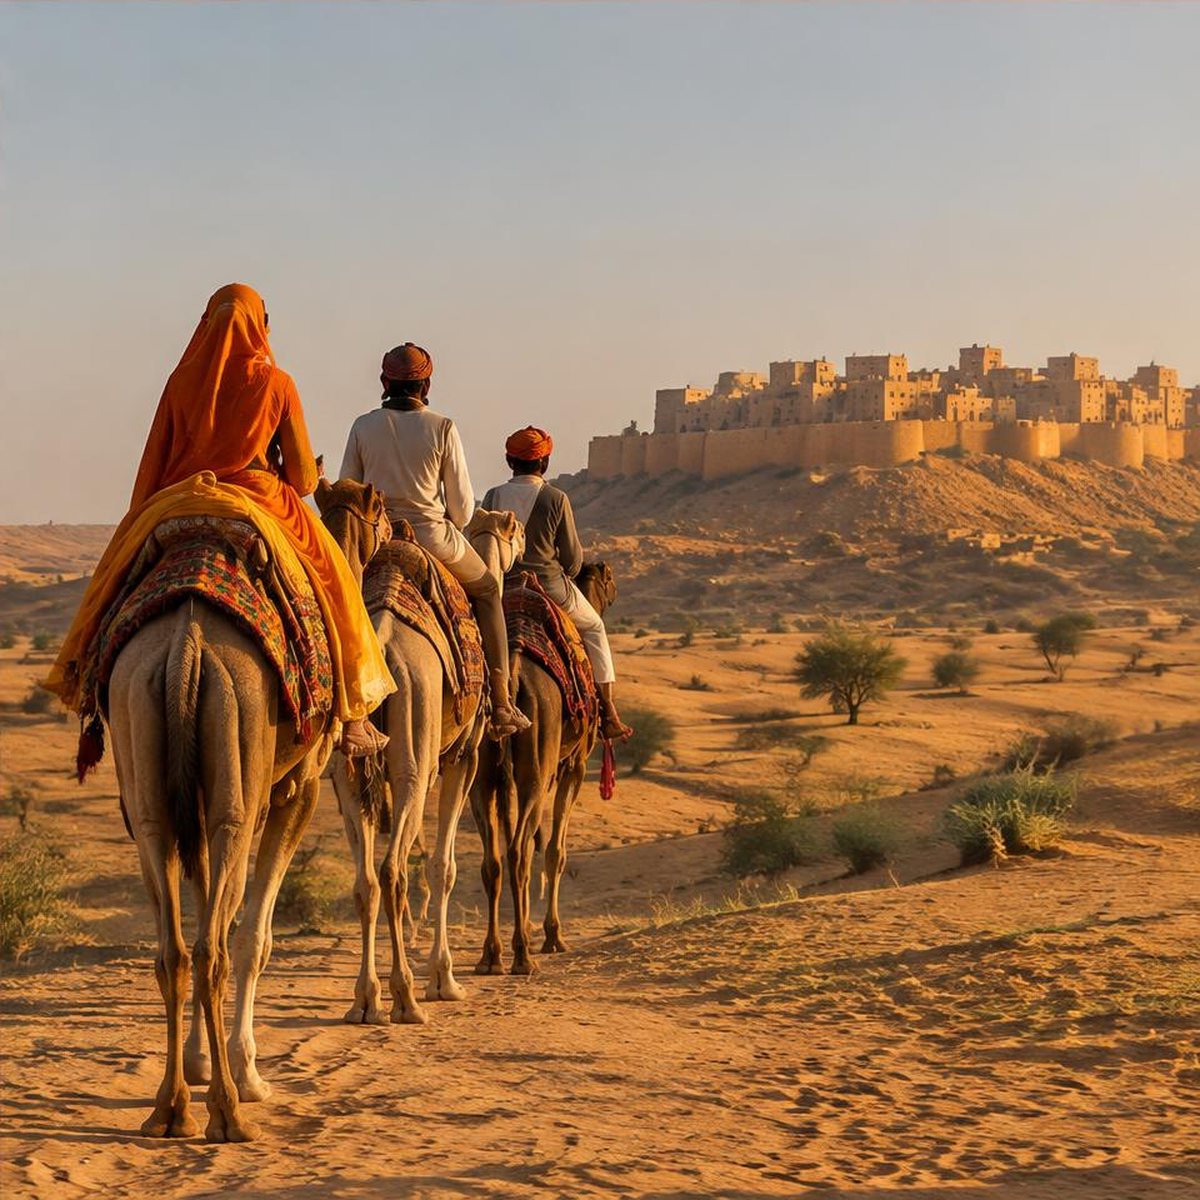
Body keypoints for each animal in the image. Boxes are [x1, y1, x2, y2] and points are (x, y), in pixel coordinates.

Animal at [106, 478, 388, 1143]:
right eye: (381, 516)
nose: (395, 535)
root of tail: (186, 645)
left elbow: (215, 912)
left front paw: (199, 1061)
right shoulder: (296, 790)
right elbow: (252, 935)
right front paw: (244, 1069)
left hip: (144, 751)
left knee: (176, 949)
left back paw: (170, 1107)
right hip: (242, 746)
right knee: (212, 949)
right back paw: (229, 1110)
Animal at [332, 510, 524, 1026]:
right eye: (516, 532)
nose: (523, 547)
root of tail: (380, 641)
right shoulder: (463, 758)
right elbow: (444, 867)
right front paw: (445, 979)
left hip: (346, 771)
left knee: (365, 881)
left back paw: (365, 1001)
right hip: (417, 739)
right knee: (393, 869)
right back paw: (406, 998)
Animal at [471, 562, 617, 976]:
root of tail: (513, 678)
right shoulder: (574, 766)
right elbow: (555, 851)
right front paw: (553, 936)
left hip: (483, 773)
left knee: (495, 859)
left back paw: (492, 956)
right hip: (538, 770)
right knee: (520, 852)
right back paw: (523, 956)